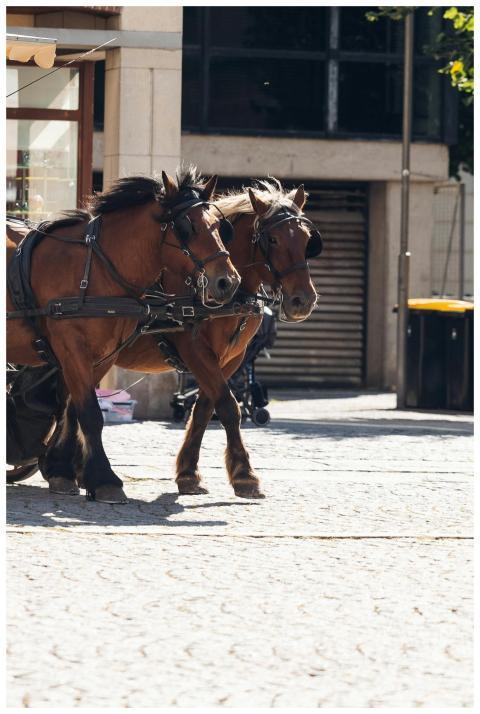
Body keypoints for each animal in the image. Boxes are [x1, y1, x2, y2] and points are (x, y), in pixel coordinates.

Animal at [6, 167, 241, 503]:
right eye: (187, 227)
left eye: (219, 227)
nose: (228, 282)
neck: (96, 269)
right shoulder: (72, 347)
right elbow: (90, 413)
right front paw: (105, 480)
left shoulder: (104, 354)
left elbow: (74, 409)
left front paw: (69, 472)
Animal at [44, 178, 321, 499]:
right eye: (273, 240)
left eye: (306, 240)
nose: (303, 300)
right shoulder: (195, 349)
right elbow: (229, 406)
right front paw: (244, 475)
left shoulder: (229, 360)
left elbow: (204, 409)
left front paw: (188, 473)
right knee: (71, 401)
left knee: (71, 401)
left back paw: (71, 468)